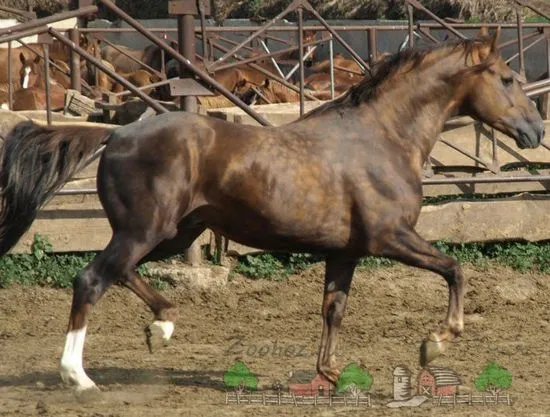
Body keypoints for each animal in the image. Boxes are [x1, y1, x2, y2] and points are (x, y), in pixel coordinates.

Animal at [0, 30, 544, 392]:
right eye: (507, 78)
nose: (535, 131)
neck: (384, 137)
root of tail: (114, 134)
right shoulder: (389, 237)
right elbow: (455, 268)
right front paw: (436, 342)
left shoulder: (345, 251)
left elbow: (334, 309)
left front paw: (332, 375)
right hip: (145, 229)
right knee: (91, 279)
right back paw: (78, 377)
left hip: (173, 233)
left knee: (123, 273)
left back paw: (163, 328)